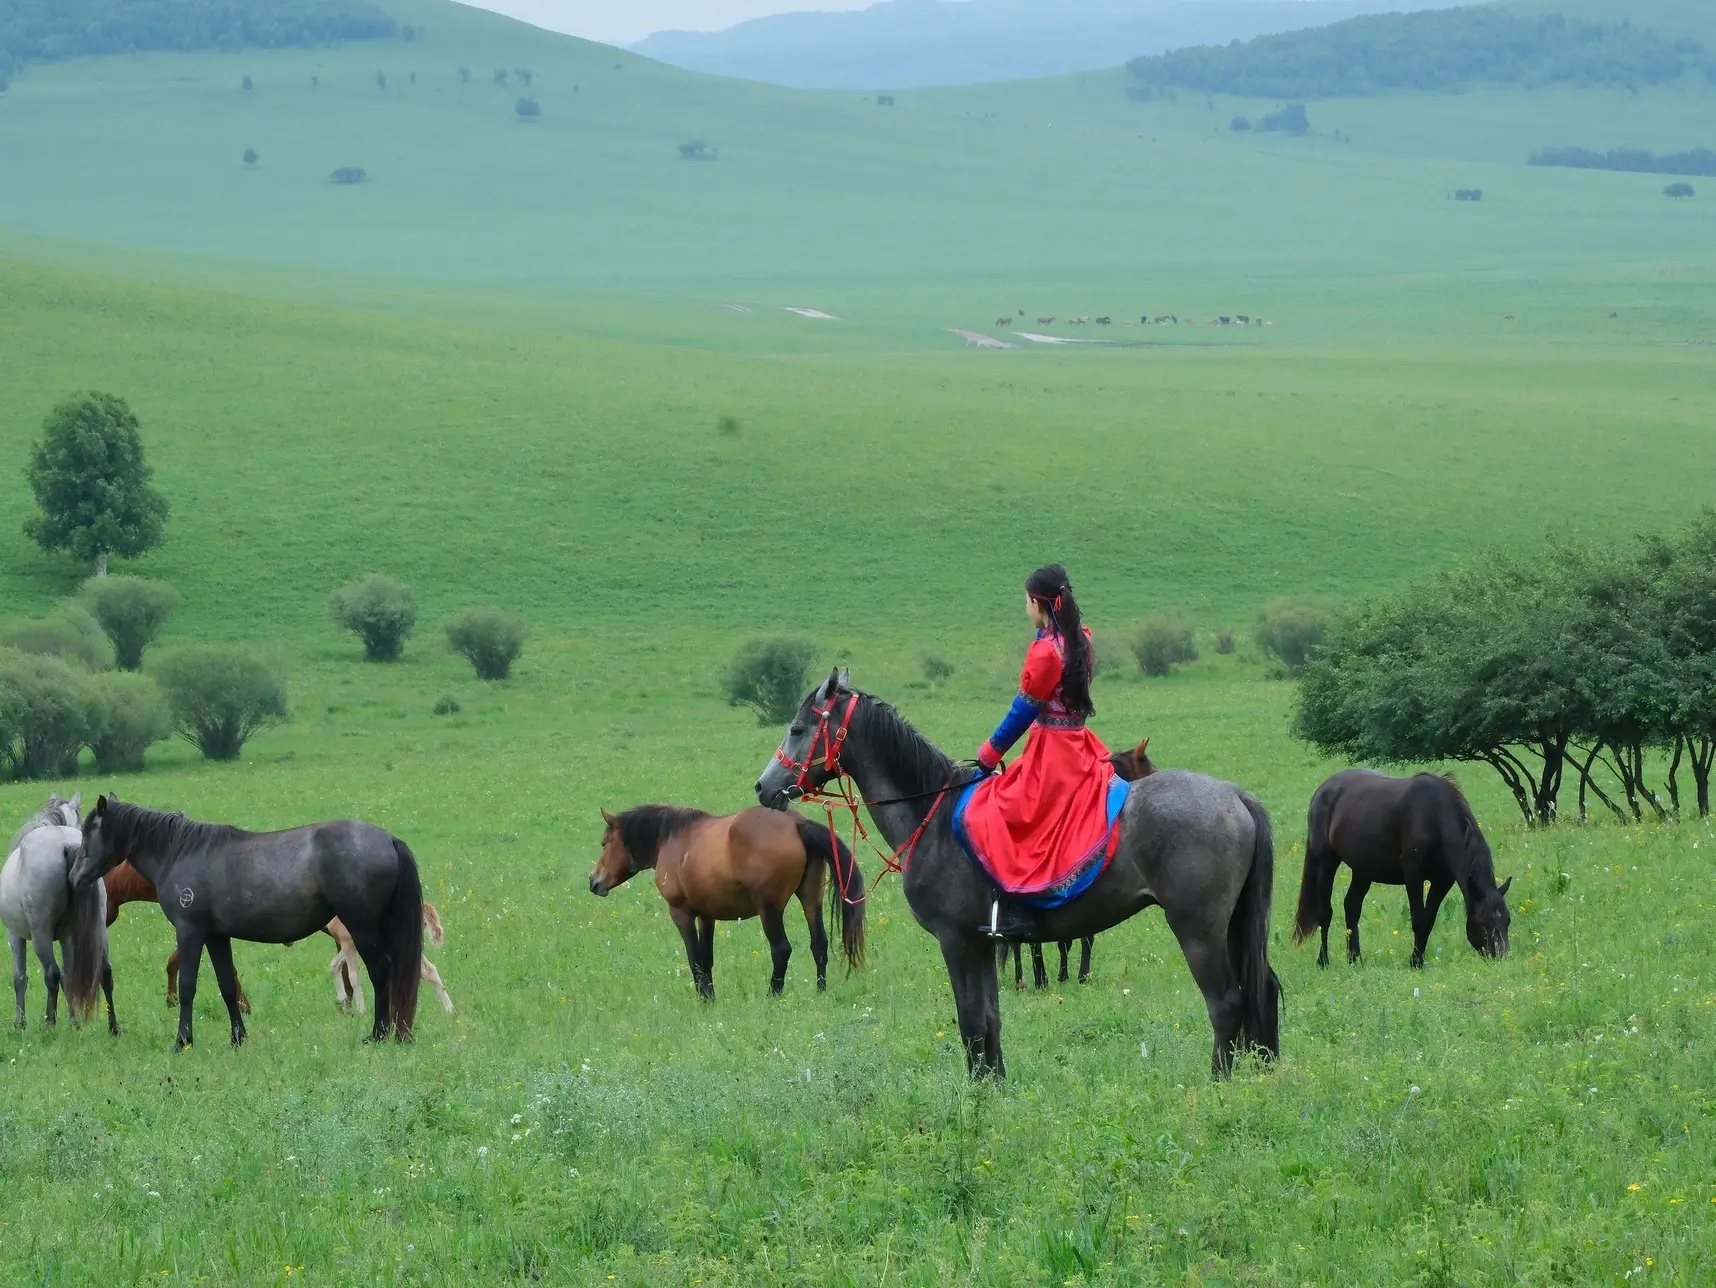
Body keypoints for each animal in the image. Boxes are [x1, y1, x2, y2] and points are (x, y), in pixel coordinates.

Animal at [2, 794, 116, 1034]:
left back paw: (49, 1023)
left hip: (41, 935)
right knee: (105, 972)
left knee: (51, 974)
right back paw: (113, 1028)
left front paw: (20, 1023)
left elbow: (20, 977)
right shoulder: (67, 937)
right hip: (98, 931)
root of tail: (66, 844)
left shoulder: (14, 935)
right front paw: (74, 1022)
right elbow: (69, 976)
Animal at [71, 796, 423, 1049]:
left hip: (362, 928)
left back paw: (379, 1034)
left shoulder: (190, 932)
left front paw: (183, 1040)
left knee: (381, 971)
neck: (181, 853)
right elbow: (227, 985)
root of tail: (389, 840)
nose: (74, 878)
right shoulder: (216, 937)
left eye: (89, 832)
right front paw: (238, 1038)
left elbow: (187, 986)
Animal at [589, 805, 865, 1000]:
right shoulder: (706, 916)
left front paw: (703, 1000)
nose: (593, 882)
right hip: (810, 899)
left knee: (781, 950)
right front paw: (711, 998)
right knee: (819, 944)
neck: (672, 839)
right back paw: (821, 991)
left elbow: (694, 960)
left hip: (769, 909)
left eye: (604, 843)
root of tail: (796, 822)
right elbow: (706, 959)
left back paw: (772, 996)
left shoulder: (681, 913)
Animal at [757, 672, 1280, 1079]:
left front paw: (975, 1095)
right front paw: (995, 1086)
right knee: (1264, 987)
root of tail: (1234, 795)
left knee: (1226, 1001)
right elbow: (990, 1018)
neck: (932, 812)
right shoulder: (984, 943)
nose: (763, 788)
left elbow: (970, 1021)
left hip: (1198, 929)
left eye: (798, 728)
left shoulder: (957, 940)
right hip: (1231, 926)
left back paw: (1218, 1083)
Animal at [1293, 769, 1511, 969]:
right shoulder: (1413, 876)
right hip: (1326, 861)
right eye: (1484, 922)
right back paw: (1323, 961)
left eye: (1507, 920)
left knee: (1352, 907)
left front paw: (1418, 960)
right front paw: (1416, 962)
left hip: (1363, 870)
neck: (1434, 817)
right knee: (1325, 913)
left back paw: (1355, 959)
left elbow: (1428, 920)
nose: (1501, 957)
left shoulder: (1442, 881)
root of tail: (1323, 788)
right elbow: (1418, 919)